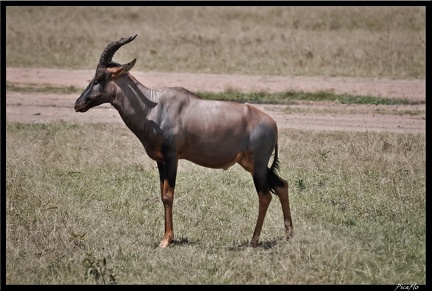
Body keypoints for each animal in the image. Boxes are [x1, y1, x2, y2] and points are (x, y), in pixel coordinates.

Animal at [73, 34, 294, 249]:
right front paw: (167, 238)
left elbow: (168, 195)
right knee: (282, 185)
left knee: (265, 195)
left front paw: (166, 240)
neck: (155, 106)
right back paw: (289, 236)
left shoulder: (172, 157)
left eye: (99, 77)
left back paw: (254, 241)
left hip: (258, 165)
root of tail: (273, 124)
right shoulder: (160, 161)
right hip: (251, 164)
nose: (78, 104)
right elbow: (162, 195)